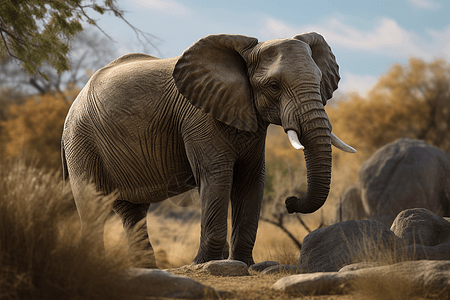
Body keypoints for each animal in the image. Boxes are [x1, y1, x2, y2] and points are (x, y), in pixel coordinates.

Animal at [61, 32, 356, 268]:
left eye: (319, 81)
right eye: (273, 86)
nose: (289, 202)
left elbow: (251, 180)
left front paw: (244, 264)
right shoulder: (198, 117)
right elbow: (216, 177)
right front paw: (205, 264)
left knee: (131, 211)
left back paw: (146, 268)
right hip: (81, 141)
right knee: (93, 205)